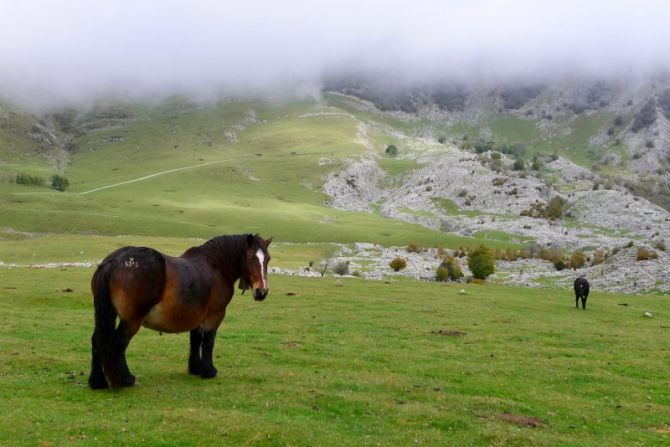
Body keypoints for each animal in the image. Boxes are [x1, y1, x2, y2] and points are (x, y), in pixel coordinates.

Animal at [88, 234, 272, 388]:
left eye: (268, 259)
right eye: (250, 258)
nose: (262, 292)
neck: (216, 266)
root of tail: (113, 261)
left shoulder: (198, 317)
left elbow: (195, 341)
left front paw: (195, 368)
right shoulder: (215, 315)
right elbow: (208, 342)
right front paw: (208, 370)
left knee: (97, 341)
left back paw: (97, 381)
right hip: (131, 320)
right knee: (118, 343)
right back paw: (125, 379)